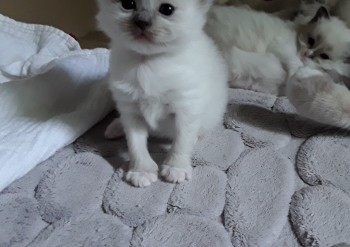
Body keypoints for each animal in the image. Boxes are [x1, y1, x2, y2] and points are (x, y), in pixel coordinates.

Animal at [95, 0, 228, 187]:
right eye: (128, 4)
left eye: (167, 9)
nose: (142, 22)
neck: (148, 62)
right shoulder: (131, 112)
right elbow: (136, 145)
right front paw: (141, 172)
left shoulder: (186, 109)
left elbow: (181, 142)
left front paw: (176, 169)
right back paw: (114, 129)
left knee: (195, 134)